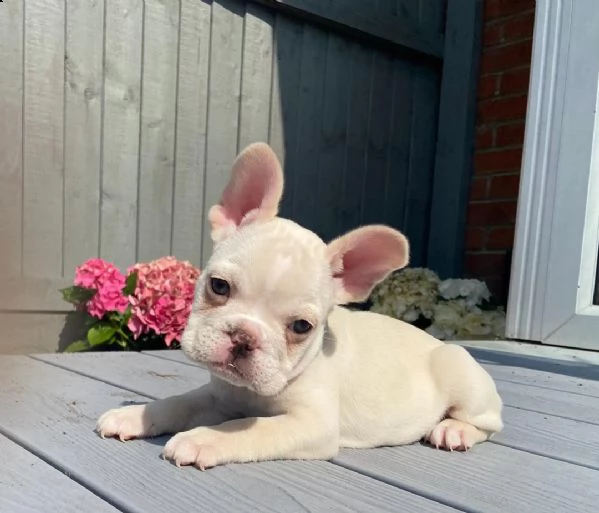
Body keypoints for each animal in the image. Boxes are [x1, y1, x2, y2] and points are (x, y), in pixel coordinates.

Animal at [97, 142, 502, 470]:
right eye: (218, 286)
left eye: (301, 327)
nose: (244, 337)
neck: (251, 393)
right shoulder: (217, 396)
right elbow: (179, 403)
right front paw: (135, 416)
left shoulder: (311, 424)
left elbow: (247, 428)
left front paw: (202, 439)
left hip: (460, 374)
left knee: (489, 422)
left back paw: (453, 430)